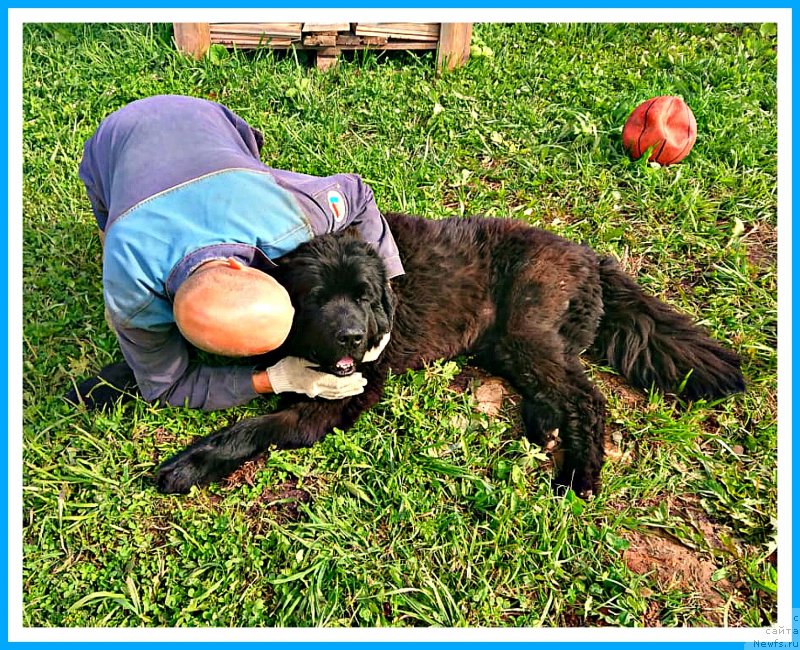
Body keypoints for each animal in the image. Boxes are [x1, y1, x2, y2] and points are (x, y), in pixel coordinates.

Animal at [67, 210, 744, 494]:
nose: (351, 339)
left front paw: (189, 464)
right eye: (317, 299)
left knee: (587, 397)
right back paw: (542, 427)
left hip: (527, 330)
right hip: (510, 343)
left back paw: (579, 472)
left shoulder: (330, 403)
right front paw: (96, 383)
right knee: (556, 388)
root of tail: (589, 255)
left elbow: (249, 428)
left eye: (366, 297)